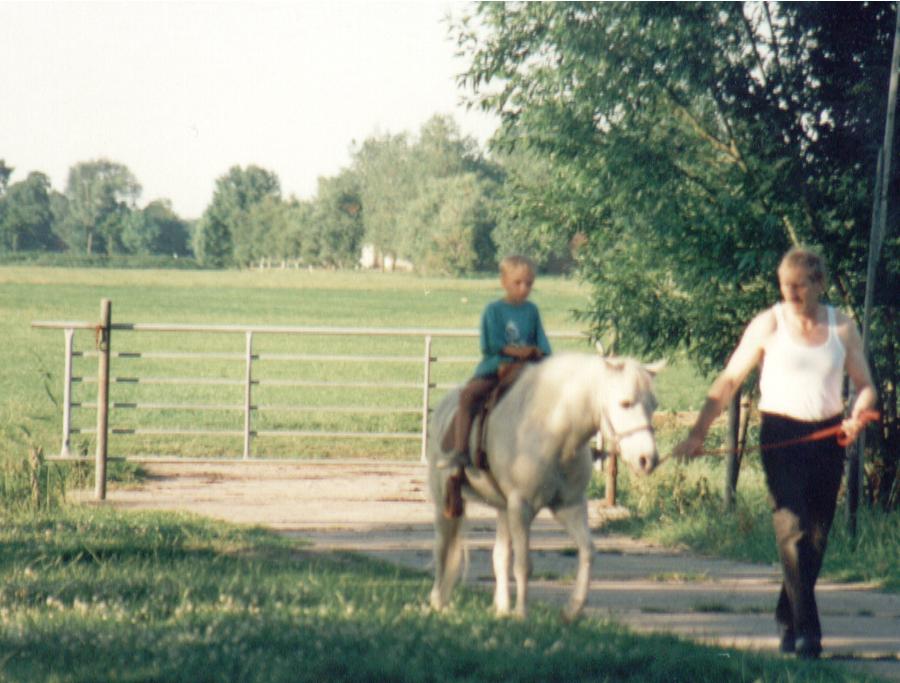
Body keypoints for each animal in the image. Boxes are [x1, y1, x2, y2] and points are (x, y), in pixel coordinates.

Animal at [426, 356, 664, 624]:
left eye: (653, 405)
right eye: (625, 402)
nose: (648, 460)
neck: (553, 431)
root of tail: (444, 409)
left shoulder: (569, 506)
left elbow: (588, 551)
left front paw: (573, 608)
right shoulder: (521, 507)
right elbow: (523, 564)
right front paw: (522, 613)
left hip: (503, 510)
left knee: (499, 556)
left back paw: (501, 608)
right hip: (445, 502)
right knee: (443, 547)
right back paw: (437, 601)